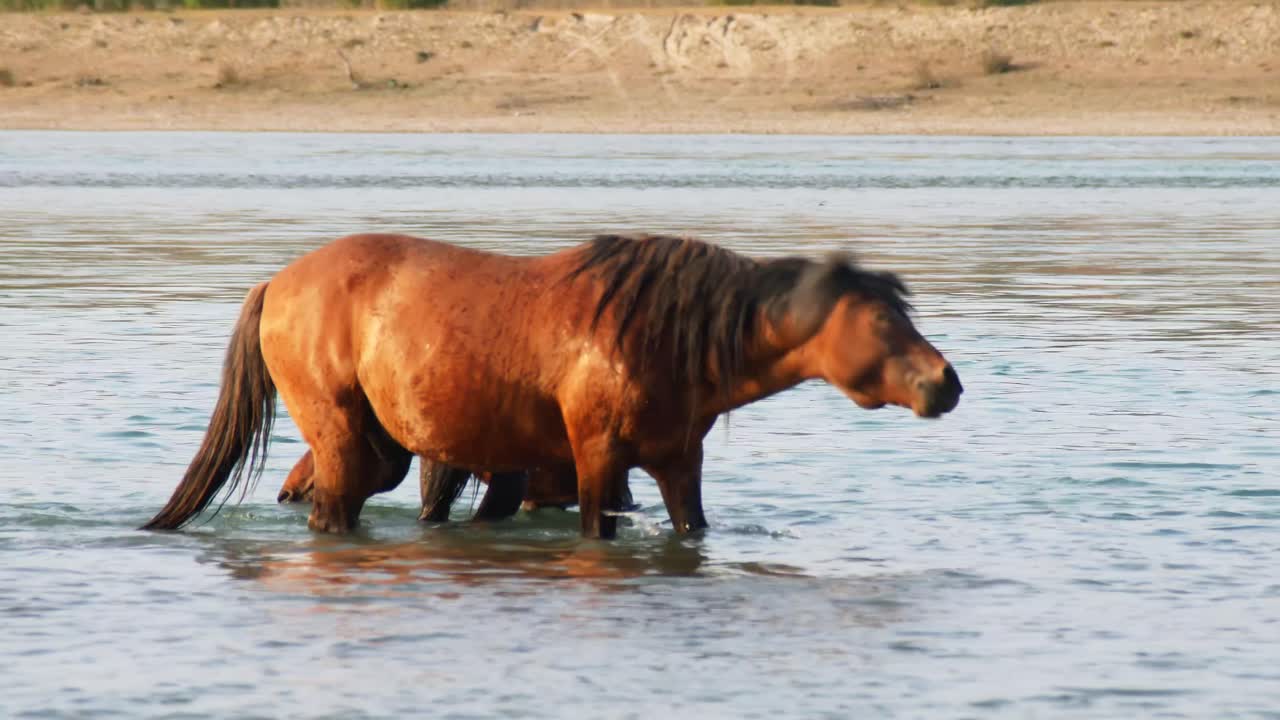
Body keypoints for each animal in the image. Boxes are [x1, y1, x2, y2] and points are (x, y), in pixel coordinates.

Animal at [143, 233, 961, 538]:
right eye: (882, 322)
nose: (946, 383)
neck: (658, 334)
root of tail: (276, 283)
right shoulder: (596, 459)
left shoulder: (677, 464)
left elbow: (691, 529)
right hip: (343, 445)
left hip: (385, 453)